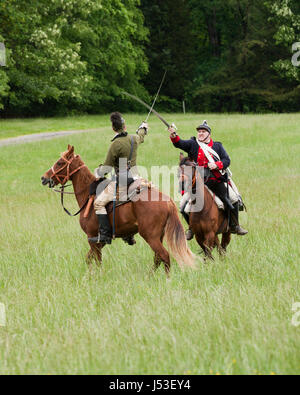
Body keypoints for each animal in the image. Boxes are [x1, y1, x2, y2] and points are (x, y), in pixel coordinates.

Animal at [41, 145, 196, 276]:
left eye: (60, 162)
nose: (44, 178)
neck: (88, 194)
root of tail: (167, 200)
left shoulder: (93, 238)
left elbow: (97, 260)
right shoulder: (99, 242)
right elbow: (89, 258)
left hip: (150, 236)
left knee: (164, 256)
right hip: (158, 236)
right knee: (158, 258)